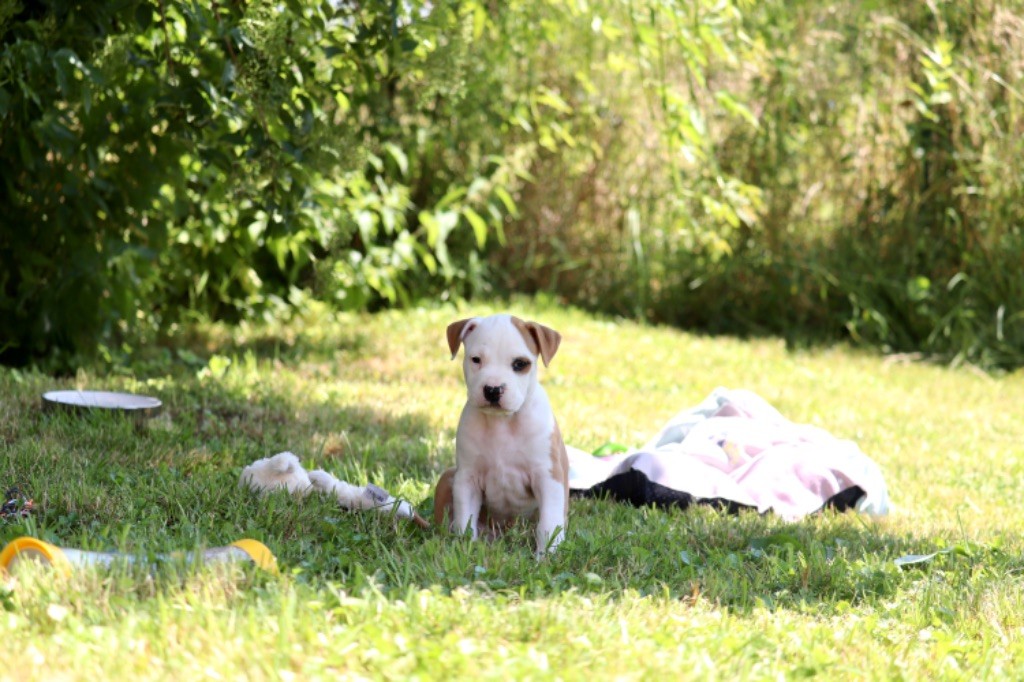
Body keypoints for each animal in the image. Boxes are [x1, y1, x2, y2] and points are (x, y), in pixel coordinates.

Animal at [433, 314, 568, 557]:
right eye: (476, 359)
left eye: (520, 364)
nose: (493, 389)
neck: (502, 423)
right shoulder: (467, 478)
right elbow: (465, 520)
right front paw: (465, 550)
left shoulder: (548, 477)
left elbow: (548, 524)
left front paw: (546, 557)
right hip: (448, 477)